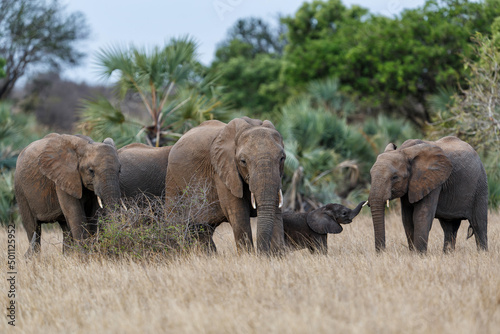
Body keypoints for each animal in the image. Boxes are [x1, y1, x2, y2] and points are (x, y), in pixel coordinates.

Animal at [166, 117, 286, 253]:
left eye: (282, 158)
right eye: (243, 161)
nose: (261, 254)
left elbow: (276, 212)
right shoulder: (222, 173)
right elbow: (239, 215)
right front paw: (248, 256)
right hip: (173, 181)